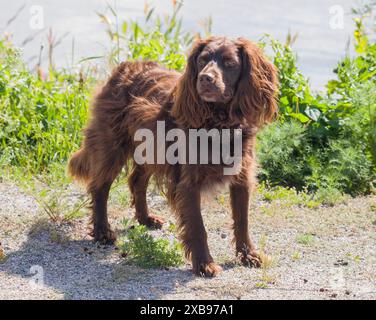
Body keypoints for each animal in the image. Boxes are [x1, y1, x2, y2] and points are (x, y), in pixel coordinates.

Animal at [69, 37, 278, 278]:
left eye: (229, 63)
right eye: (202, 60)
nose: (205, 78)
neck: (219, 122)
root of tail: (125, 66)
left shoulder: (242, 176)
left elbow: (242, 220)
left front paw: (248, 255)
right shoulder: (189, 183)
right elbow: (198, 226)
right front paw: (204, 264)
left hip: (150, 148)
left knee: (136, 180)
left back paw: (146, 219)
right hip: (112, 146)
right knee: (100, 187)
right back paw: (102, 231)